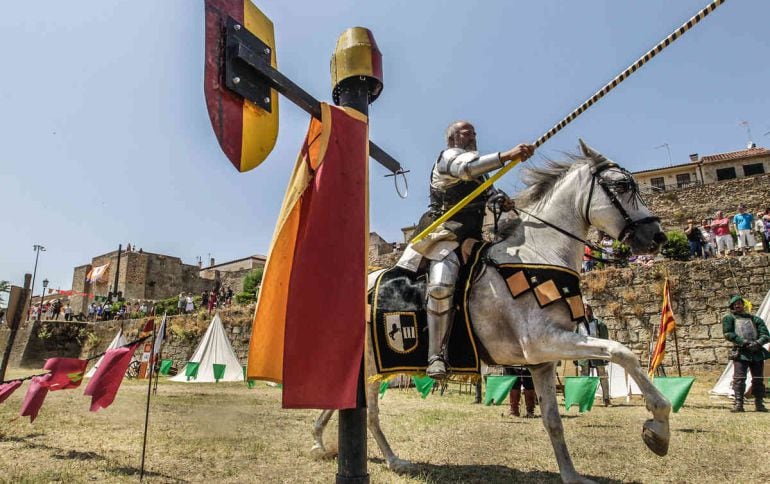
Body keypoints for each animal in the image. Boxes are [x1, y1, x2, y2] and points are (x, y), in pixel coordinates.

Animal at [308, 138, 668, 482]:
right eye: (621, 185)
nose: (657, 236)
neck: (537, 254)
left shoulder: (541, 360)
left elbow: (553, 420)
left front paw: (571, 475)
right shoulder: (543, 341)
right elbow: (621, 351)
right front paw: (658, 426)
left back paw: (349, 449)